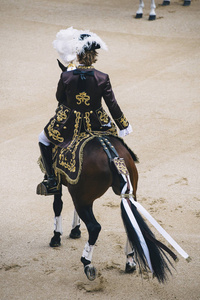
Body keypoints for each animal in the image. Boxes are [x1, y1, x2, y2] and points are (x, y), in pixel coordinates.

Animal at [39, 135, 177, 282]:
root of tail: (112, 155)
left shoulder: (63, 187)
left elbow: (57, 206)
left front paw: (56, 237)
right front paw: (75, 230)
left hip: (83, 199)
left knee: (94, 227)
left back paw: (87, 263)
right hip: (125, 194)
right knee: (130, 224)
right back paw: (130, 261)